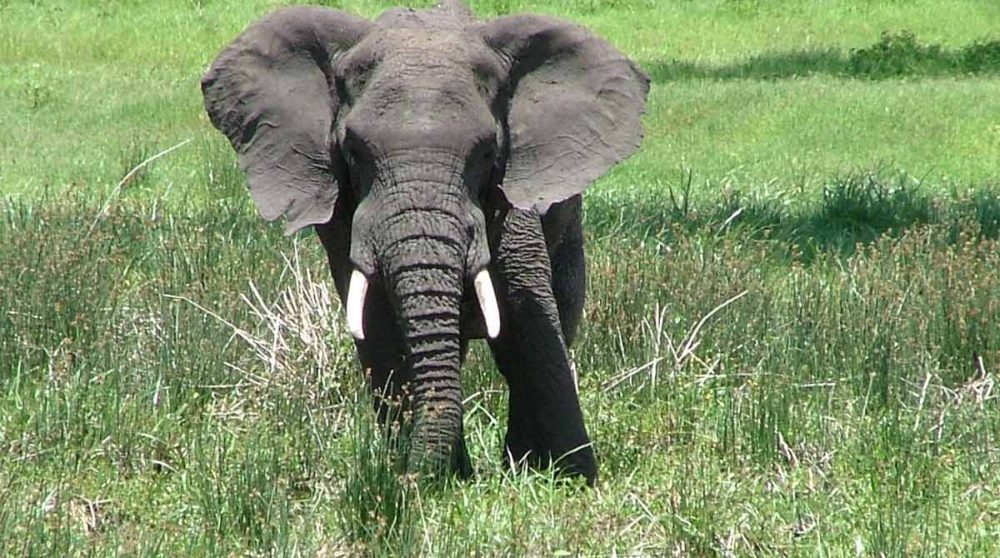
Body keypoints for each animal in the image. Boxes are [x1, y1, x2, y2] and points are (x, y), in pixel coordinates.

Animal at [201, 0, 648, 485]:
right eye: (354, 152)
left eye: (488, 153)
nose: (411, 479)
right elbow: (376, 325)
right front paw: (439, 480)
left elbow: (523, 316)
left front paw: (564, 480)